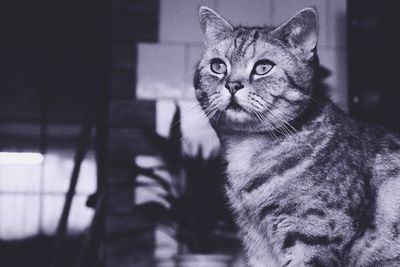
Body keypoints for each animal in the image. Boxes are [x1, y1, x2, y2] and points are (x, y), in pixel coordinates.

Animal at [194, 6, 400, 267]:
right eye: (218, 66)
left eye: (263, 68)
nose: (232, 85)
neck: (247, 150)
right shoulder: (255, 242)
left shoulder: (312, 239)